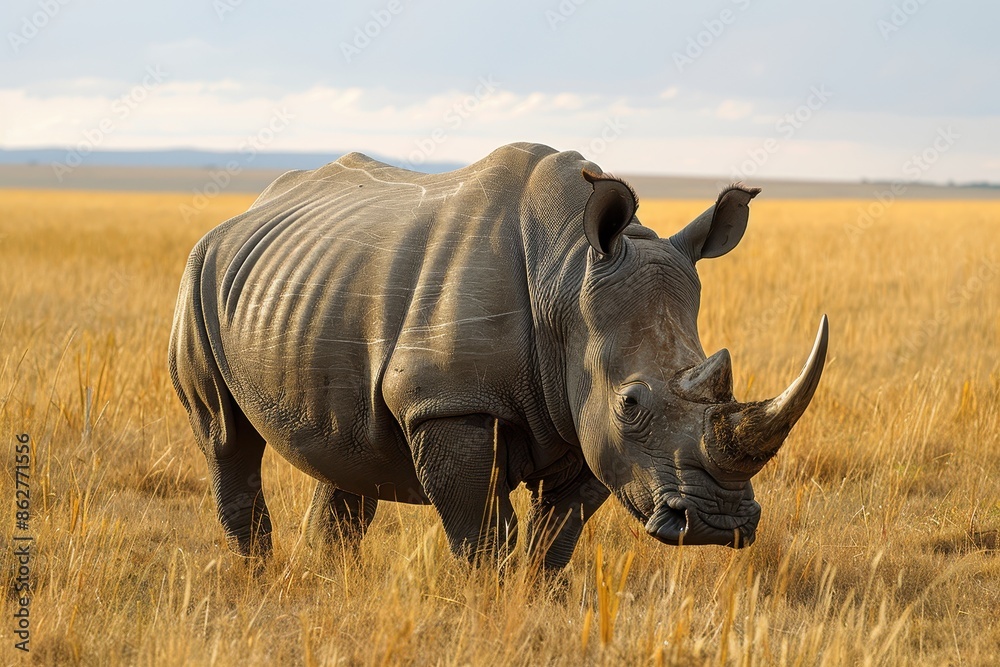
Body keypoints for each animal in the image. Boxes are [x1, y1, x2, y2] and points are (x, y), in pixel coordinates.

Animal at [169, 142, 828, 570]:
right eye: (631, 404)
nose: (718, 523)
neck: (567, 274)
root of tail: (247, 211)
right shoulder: (448, 401)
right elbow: (484, 534)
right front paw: (490, 603)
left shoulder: (578, 414)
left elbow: (557, 534)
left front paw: (540, 600)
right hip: (198, 274)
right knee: (224, 435)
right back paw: (258, 575)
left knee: (343, 450)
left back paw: (325, 579)